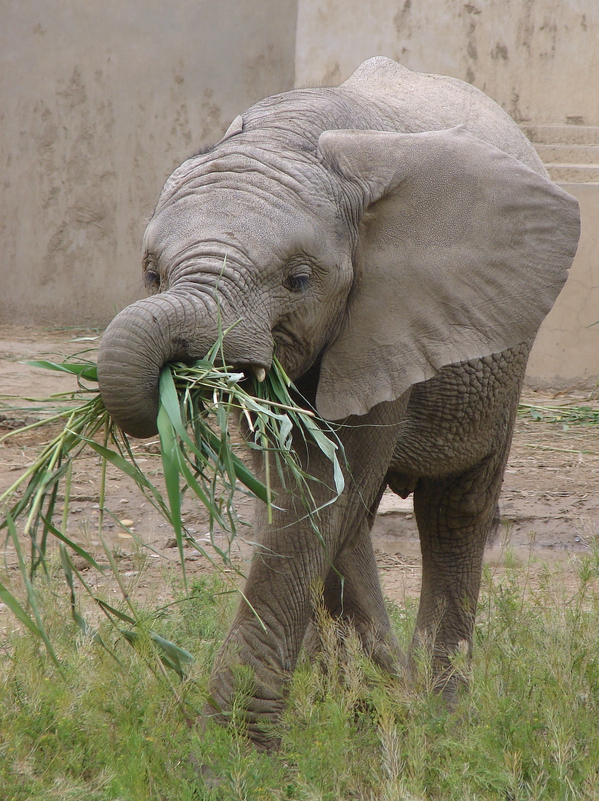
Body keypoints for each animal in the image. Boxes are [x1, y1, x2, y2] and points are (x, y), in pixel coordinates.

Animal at [97, 57, 580, 749]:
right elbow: (300, 492)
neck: (292, 136)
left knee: (455, 509)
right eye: (151, 275)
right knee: (365, 520)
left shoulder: (387, 318)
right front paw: (354, 706)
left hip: (504, 353)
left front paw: (232, 754)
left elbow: (320, 496)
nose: (180, 375)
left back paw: (438, 715)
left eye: (299, 281)